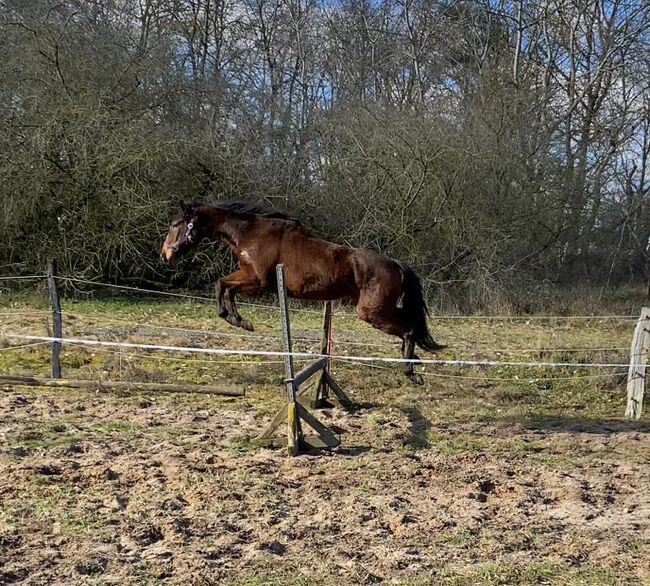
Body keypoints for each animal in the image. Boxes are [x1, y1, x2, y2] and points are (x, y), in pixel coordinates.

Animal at [162, 201, 446, 384]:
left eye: (176, 224)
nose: (165, 254)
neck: (250, 233)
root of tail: (395, 264)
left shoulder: (256, 279)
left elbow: (221, 284)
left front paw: (233, 318)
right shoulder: (248, 276)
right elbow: (225, 287)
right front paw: (238, 320)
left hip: (371, 312)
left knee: (408, 330)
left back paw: (411, 372)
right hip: (381, 308)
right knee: (411, 325)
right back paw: (411, 358)